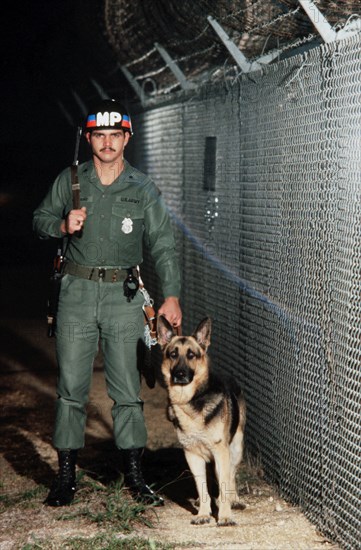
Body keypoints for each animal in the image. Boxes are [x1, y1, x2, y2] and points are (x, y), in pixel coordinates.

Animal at [157, 314, 245, 528]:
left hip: (235, 449)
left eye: (191, 355)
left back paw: (234, 499)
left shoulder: (221, 453)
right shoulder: (192, 456)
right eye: (173, 354)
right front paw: (204, 514)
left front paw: (225, 516)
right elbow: (202, 487)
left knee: (231, 476)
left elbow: (224, 485)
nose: (180, 375)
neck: (191, 401)